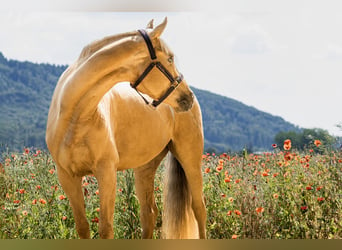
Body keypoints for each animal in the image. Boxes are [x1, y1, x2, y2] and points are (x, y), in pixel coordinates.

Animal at [45, 18, 206, 239]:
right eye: (170, 58)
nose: (187, 97)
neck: (76, 117)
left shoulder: (107, 173)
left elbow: (106, 228)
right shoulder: (67, 177)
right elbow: (83, 227)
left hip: (190, 157)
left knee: (198, 208)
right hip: (145, 167)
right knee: (149, 213)